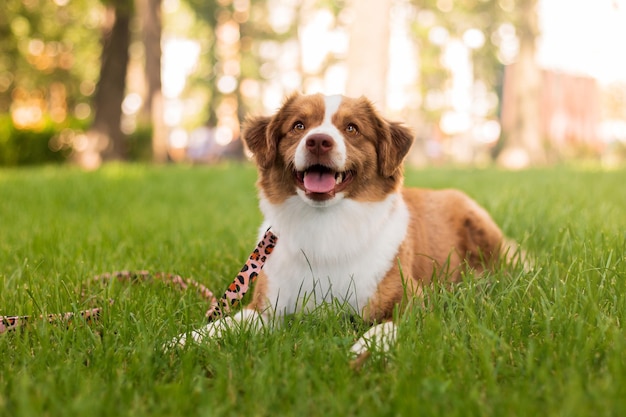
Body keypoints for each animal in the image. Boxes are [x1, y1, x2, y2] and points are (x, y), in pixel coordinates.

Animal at [174, 92, 512, 360]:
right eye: (299, 126)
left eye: (352, 128)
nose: (318, 141)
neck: (326, 225)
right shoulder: (267, 309)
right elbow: (222, 325)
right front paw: (179, 342)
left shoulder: (416, 302)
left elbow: (387, 326)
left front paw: (364, 349)